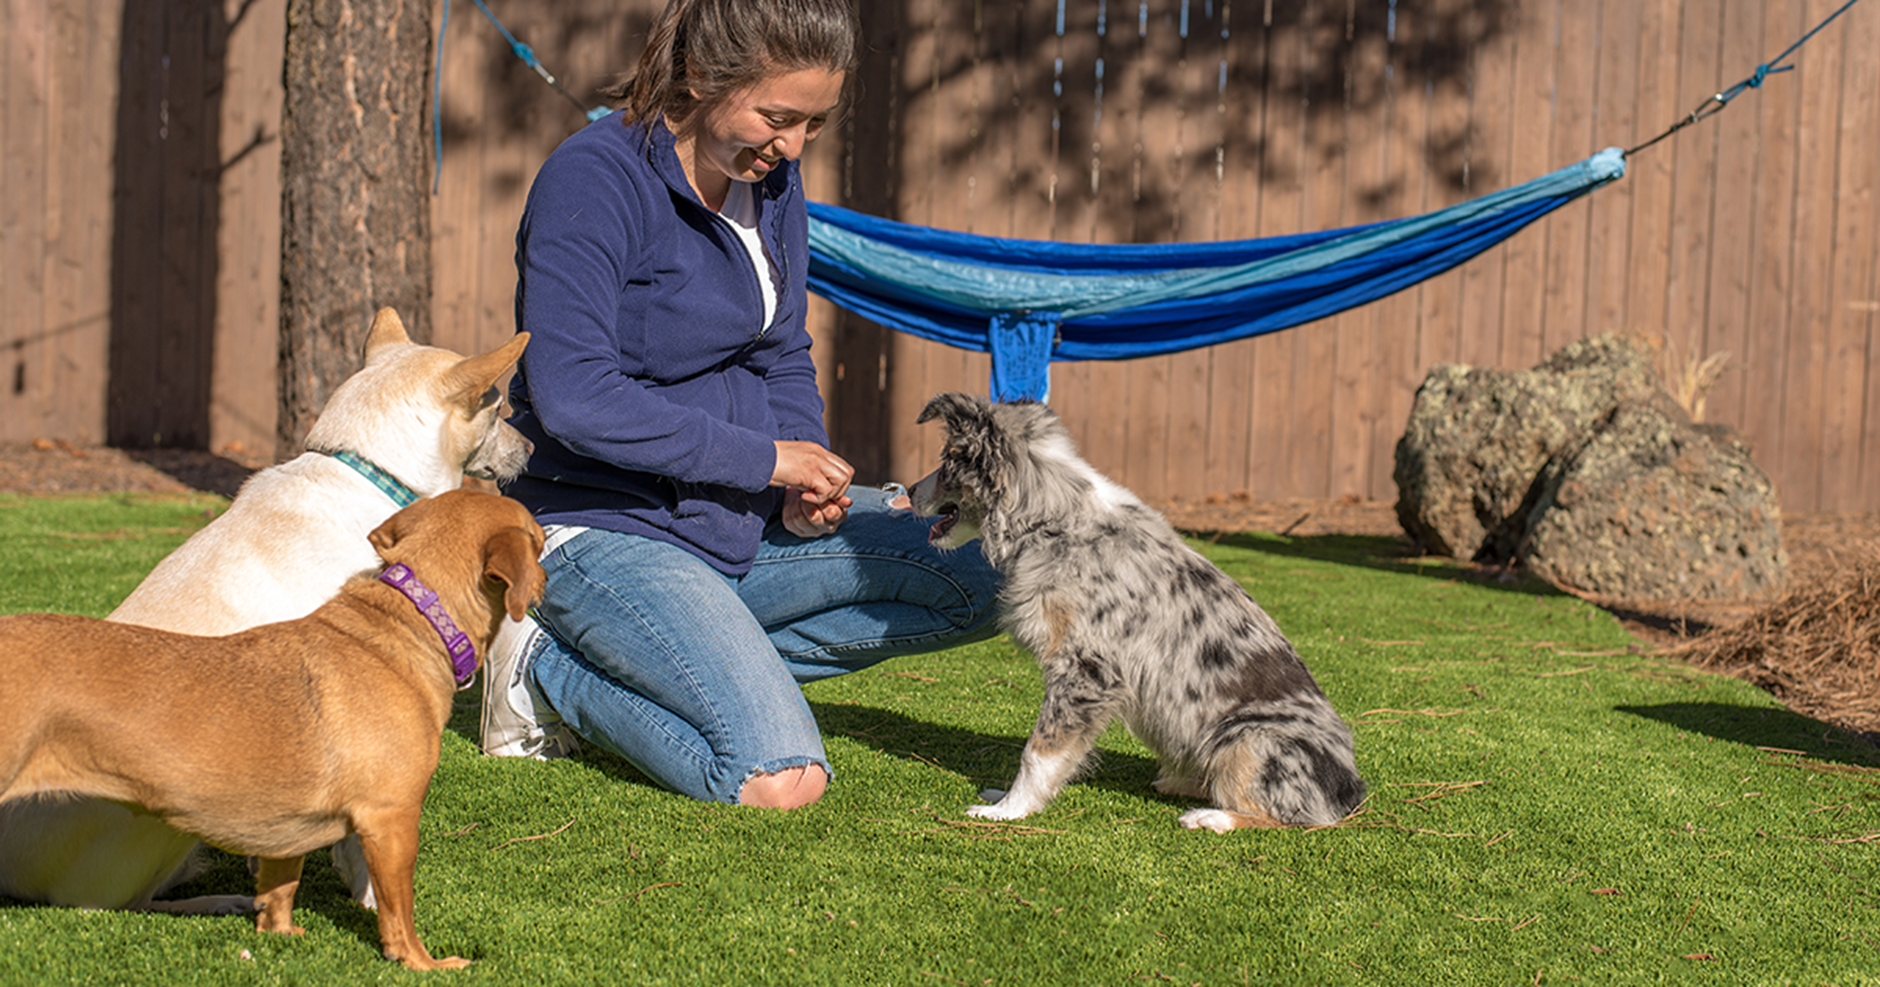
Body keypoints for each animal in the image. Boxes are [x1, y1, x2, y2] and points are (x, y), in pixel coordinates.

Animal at [0, 308, 533, 909]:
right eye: (496, 406)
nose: (532, 448)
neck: (367, 475)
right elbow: (362, 847)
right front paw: (371, 899)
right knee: (119, 904)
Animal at [0, 488, 548, 962]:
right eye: (540, 541)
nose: (546, 577)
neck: (412, 621)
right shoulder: (391, 818)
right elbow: (398, 910)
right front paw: (421, 962)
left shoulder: (290, 831)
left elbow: (281, 888)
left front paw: (279, 932)